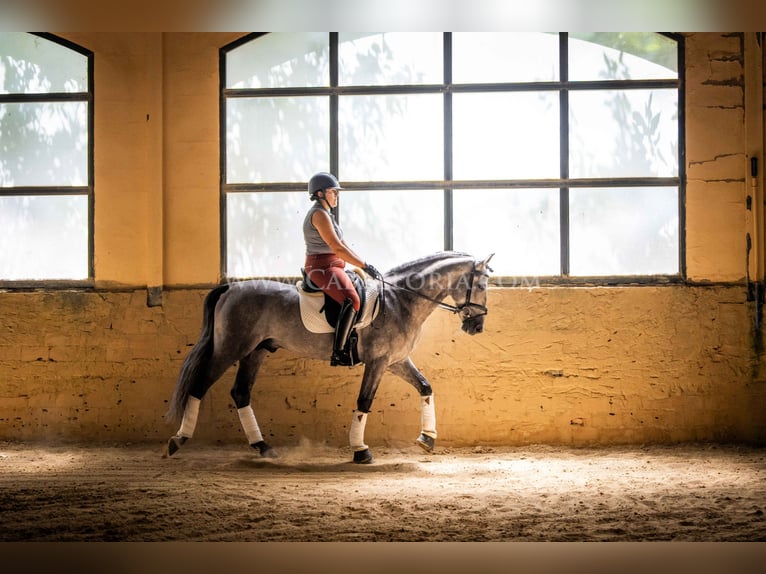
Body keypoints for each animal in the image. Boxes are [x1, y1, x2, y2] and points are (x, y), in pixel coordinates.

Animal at [165, 251, 496, 464]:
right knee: (199, 385)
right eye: (481, 285)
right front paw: (360, 450)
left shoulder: (396, 361)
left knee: (240, 392)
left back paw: (263, 447)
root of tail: (231, 287)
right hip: (230, 349)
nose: (477, 326)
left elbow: (425, 386)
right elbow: (364, 401)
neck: (401, 300)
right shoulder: (378, 362)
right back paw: (177, 440)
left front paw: (427, 438)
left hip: (255, 351)